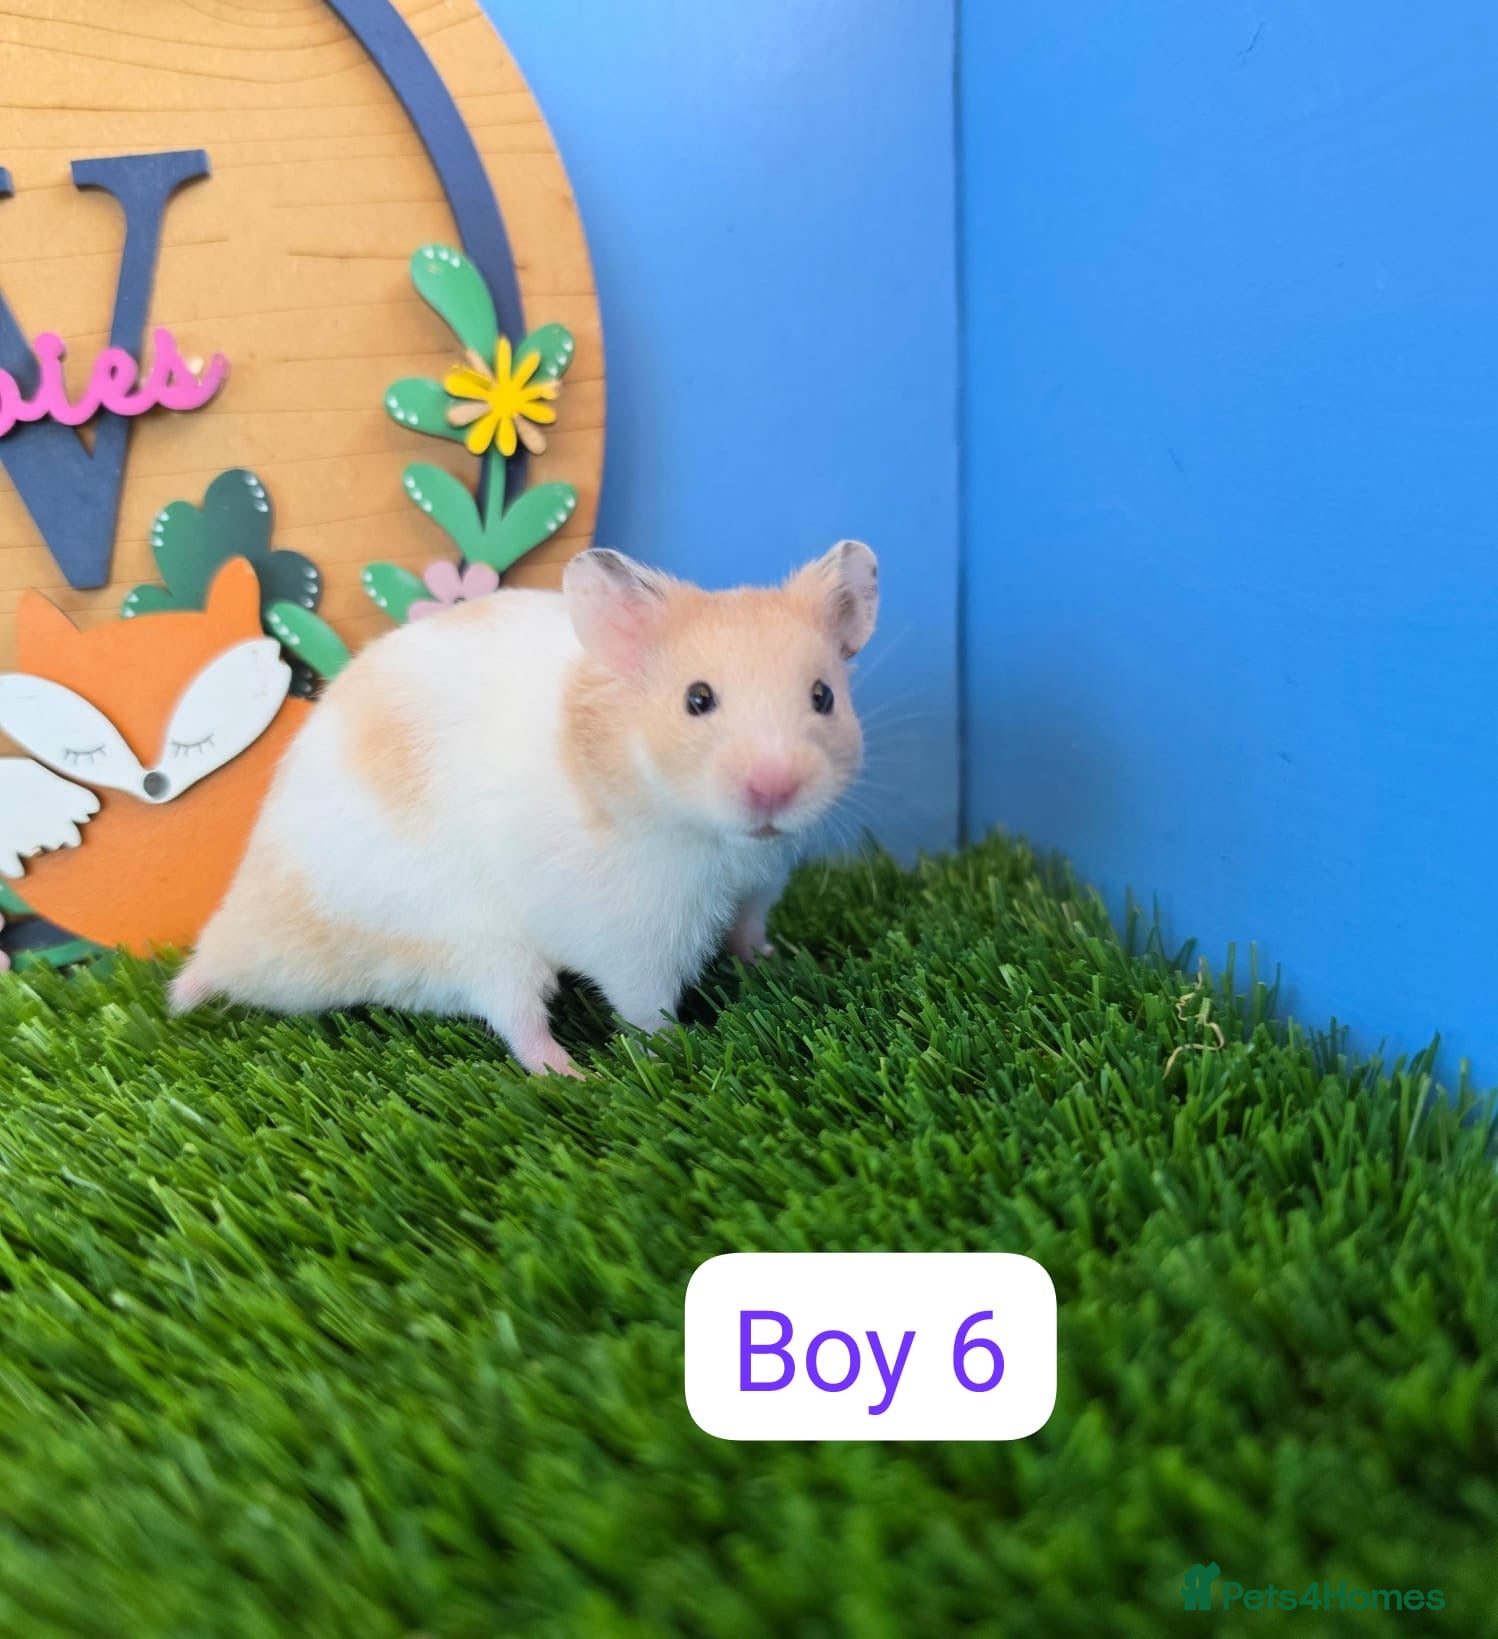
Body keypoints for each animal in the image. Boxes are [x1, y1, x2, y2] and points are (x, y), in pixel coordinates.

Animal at [171, 541, 878, 1075]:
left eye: (822, 697)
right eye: (697, 700)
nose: (774, 789)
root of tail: (234, 939)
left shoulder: (762, 881)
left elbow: (749, 928)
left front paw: (779, 959)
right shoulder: (635, 933)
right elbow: (645, 1007)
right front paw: (678, 1050)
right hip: (471, 943)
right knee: (517, 1023)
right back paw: (576, 1074)